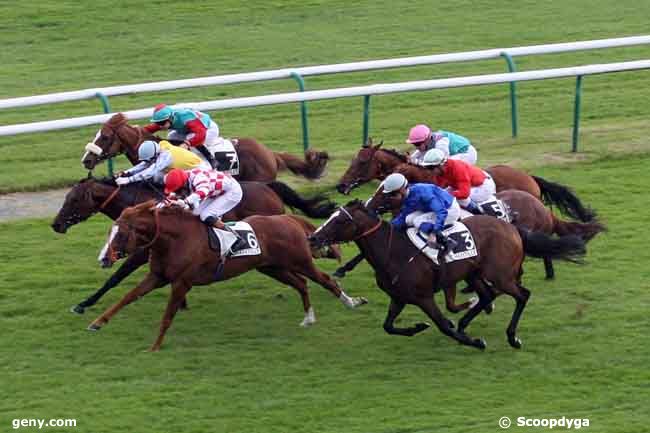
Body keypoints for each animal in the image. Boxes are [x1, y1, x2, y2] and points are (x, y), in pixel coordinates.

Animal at [53, 176, 342, 314]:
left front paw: (84, 303)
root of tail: (268, 186)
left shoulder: (141, 253)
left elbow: (115, 277)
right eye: (66, 198)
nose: (55, 224)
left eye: (74, 199)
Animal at [88, 202, 368, 352]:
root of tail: (288, 218)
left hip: (299, 261)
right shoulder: (158, 276)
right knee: (301, 283)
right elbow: (127, 297)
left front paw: (155, 346)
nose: (104, 259)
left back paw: (352, 302)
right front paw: (97, 322)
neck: (175, 239)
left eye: (121, 234)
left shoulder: (181, 282)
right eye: (111, 231)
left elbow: (167, 316)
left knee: (325, 280)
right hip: (272, 267)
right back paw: (308, 318)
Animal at [306, 201, 584, 350]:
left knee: (522, 295)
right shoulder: (399, 297)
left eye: (340, 221)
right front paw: (417, 327)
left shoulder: (423, 297)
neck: (393, 252)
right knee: (486, 296)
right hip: (474, 273)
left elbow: (442, 325)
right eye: (330, 216)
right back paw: (466, 322)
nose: (313, 238)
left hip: (501, 275)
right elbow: (388, 326)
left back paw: (512, 337)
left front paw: (475, 342)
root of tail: (512, 227)